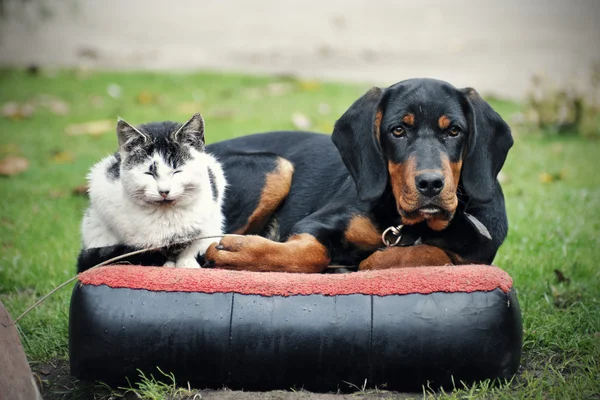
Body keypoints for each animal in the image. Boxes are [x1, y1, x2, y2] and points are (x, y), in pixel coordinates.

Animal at [81, 111, 226, 268]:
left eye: (177, 171)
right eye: (149, 173)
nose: (164, 191)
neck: (167, 218)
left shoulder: (210, 222)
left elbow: (195, 246)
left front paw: (187, 264)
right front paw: (167, 265)